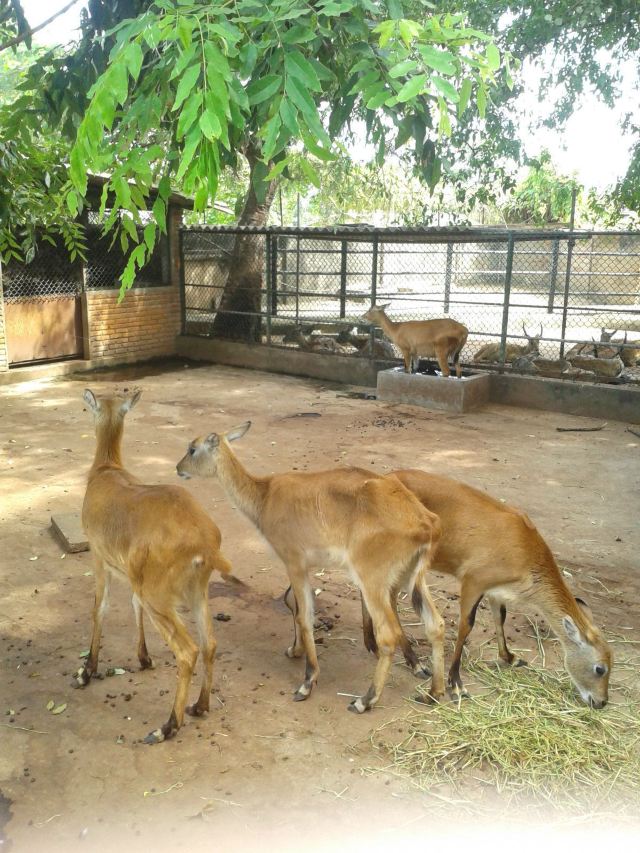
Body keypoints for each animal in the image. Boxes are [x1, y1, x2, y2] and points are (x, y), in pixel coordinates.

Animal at [76, 390, 234, 744]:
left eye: (91, 407)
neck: (105, 469)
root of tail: (206, 545)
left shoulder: (98, 553)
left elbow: (99, 607)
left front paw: (86, 671)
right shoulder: (132, 572)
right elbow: (132, 606)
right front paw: (144, 657)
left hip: (159, 593)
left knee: (187, 650)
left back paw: (167, 726)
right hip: (196, 588)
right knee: (210, 643)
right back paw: (200, 706)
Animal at [175, 424, 444, 712]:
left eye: (192, 448)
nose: (178, 468)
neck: (265, 496)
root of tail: (427, 522)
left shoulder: (293, 562)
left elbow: (303, 614)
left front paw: (307, 681)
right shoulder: (304, 566)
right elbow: (296, 606)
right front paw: (296, 651)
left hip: (372, 579)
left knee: (389, 634)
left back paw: (364, 700)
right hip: (413, 578)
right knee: (436, 625)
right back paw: (432, 692)